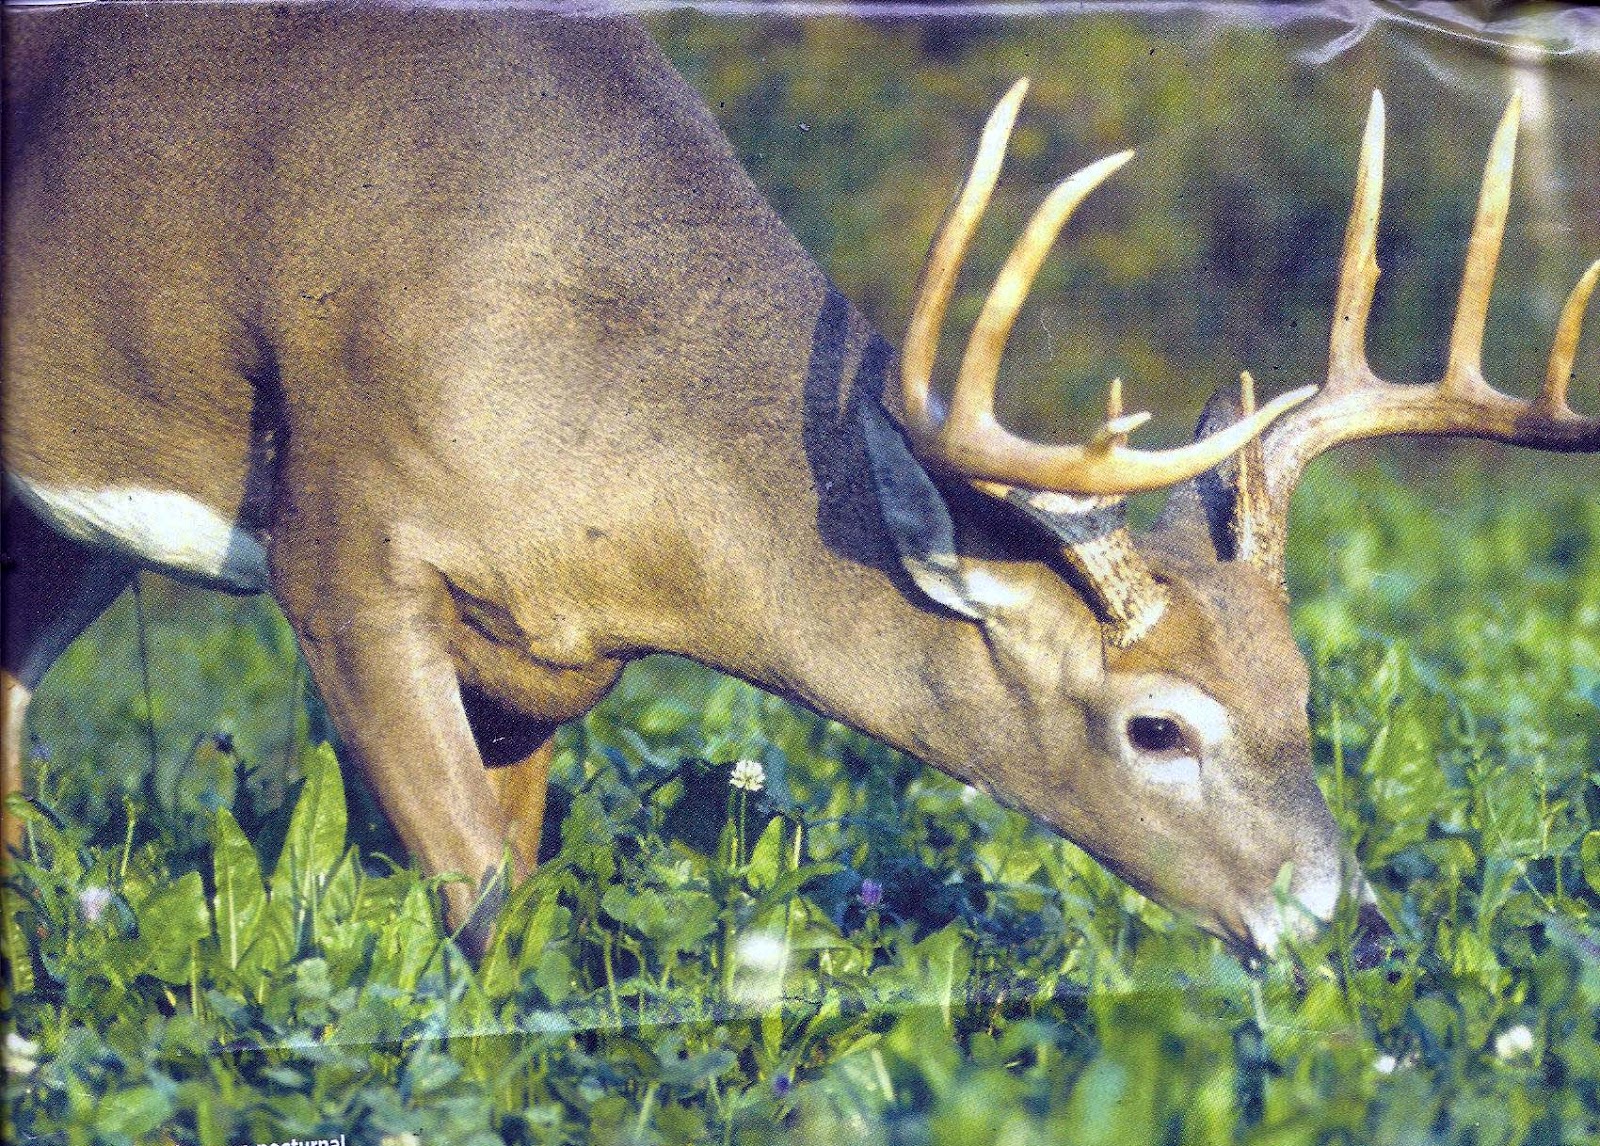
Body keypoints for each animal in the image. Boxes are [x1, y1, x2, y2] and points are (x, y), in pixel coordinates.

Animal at [3, 5, 1595, 964]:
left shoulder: (542, 657)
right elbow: (485, 909)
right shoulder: (338, 543)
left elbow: (510, 870)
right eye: (1156, 726)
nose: (1360, 931)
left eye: (1305, 695)